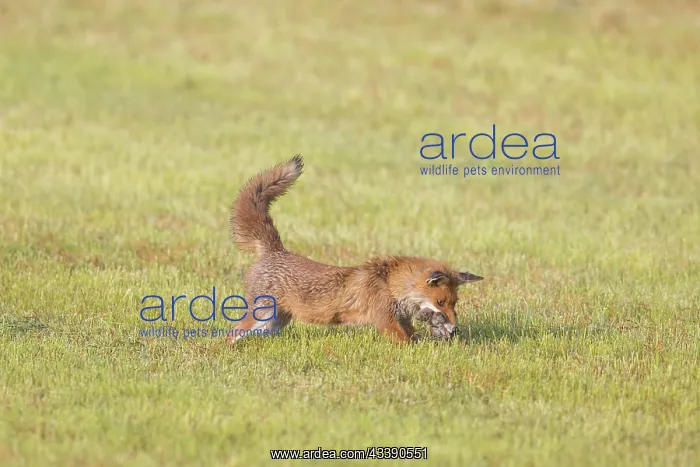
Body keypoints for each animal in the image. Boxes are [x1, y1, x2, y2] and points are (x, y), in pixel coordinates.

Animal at [226, 155, 483, 345]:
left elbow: (414, 337)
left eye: (454, 303)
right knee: (231, 333)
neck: (390, 285)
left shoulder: (403, 320)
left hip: (273, 323)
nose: (455, 330)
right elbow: (407, 343)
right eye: (440, 302)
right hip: (261, 316)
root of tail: (276, 250)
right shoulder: (386, 321)